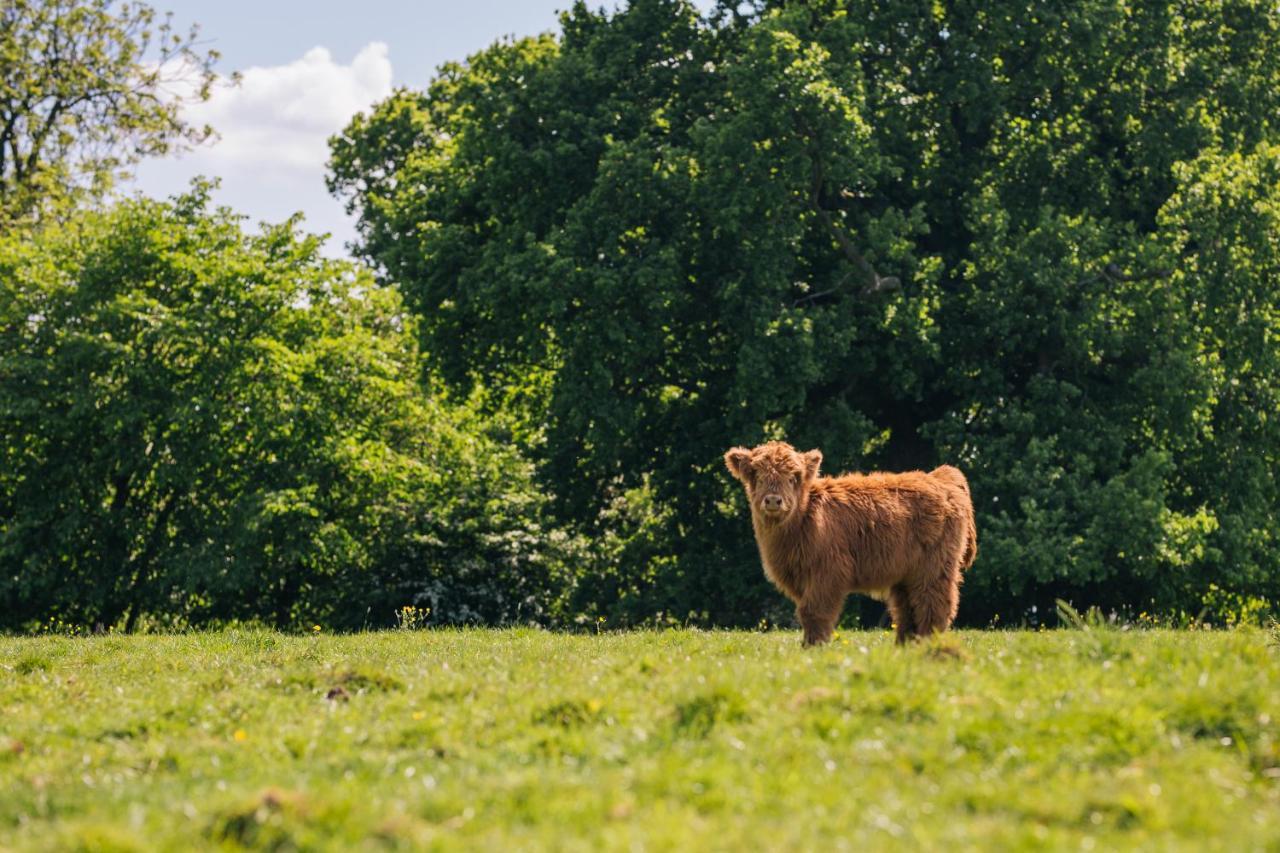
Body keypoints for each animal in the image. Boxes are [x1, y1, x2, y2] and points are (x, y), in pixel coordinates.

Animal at [721, 440, 977, 640]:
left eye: (794, 477)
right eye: (756, 474)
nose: (773, 500)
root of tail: (940, 477)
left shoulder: (828, 572)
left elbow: (813, 612)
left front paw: (813, 648)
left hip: (934, 569)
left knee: (933, 607)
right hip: (907, 572)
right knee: (907, 611)